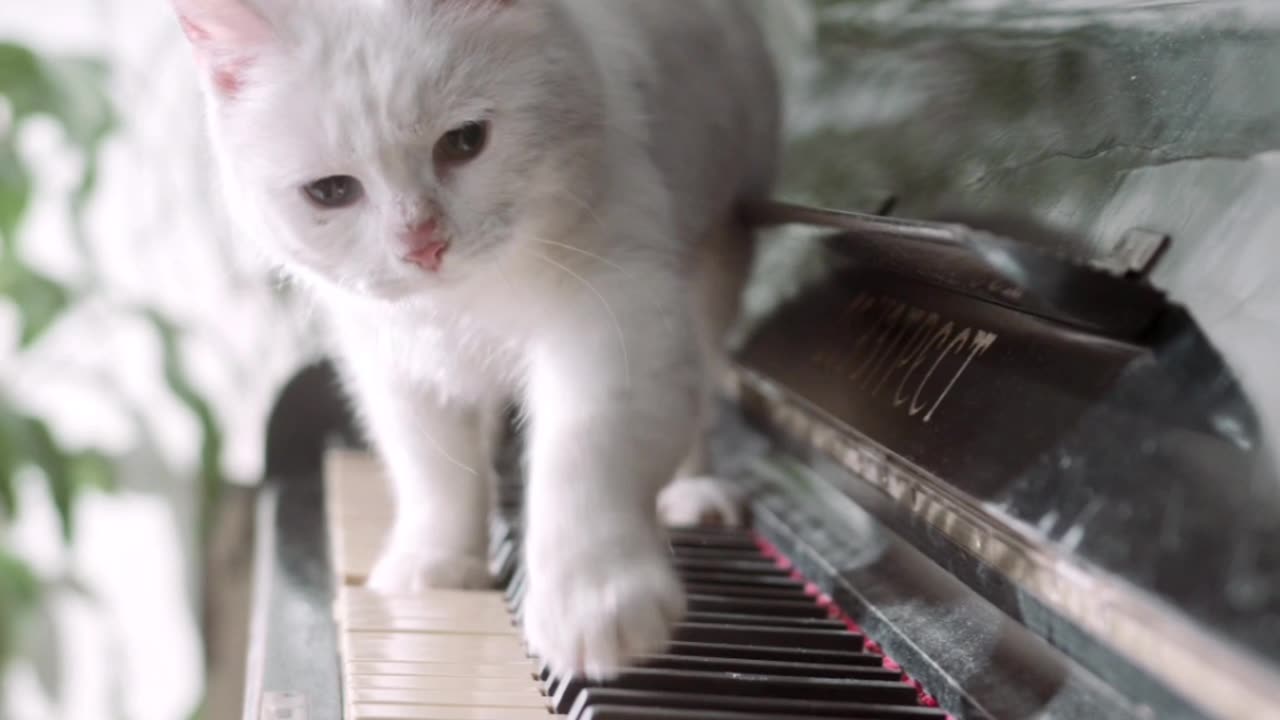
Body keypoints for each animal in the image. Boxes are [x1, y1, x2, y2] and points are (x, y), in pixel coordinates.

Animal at [170, 0, 778, 671]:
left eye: (464, 142)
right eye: (330, 191)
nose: (422, 245)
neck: (466, 304)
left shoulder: (619, 318)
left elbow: (586, 453)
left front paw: (592, 601)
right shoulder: (396, 364)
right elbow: (434, 472)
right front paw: (439, 565)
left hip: (715, 257)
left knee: (701, 391)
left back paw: (693, 493)